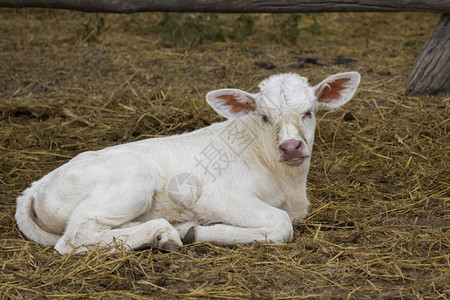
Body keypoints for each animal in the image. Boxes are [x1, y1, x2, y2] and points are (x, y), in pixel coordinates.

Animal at [15, 72, 360, 253]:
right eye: (263, 116)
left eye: (309, 112)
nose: (291, 147)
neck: (287, 182)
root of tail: (33, 189)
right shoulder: (217, 196)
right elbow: (280, 224)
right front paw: (200, 232)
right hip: (133, 178)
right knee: (74, 237)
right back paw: (166, 233)